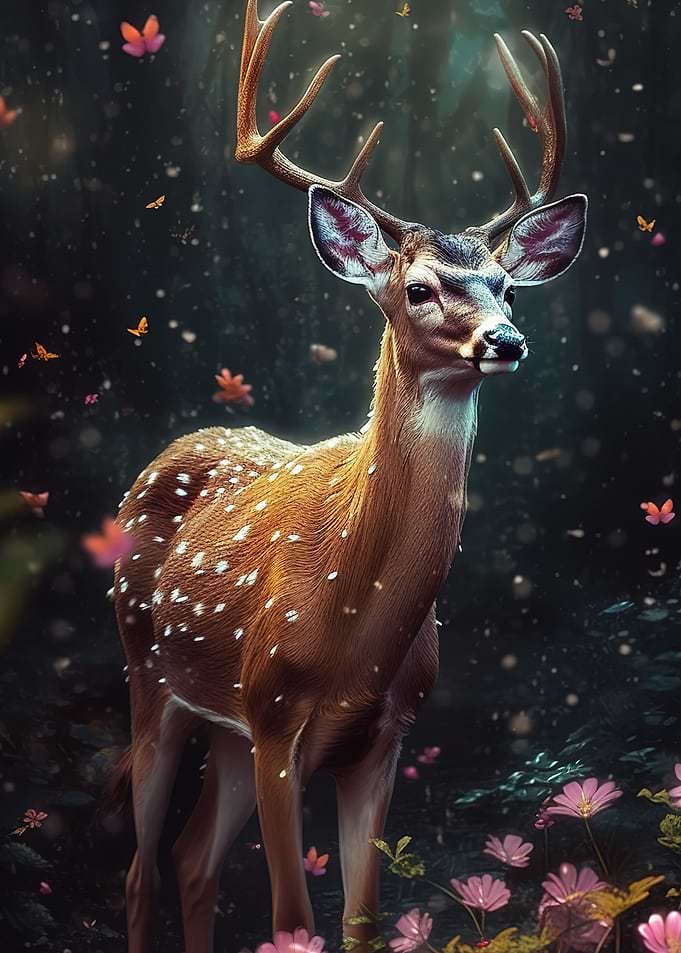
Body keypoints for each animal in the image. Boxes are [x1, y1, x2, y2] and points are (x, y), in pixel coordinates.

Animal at [110, 2, 587, 951]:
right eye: (419, 288)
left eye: (508, 286)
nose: (505, 340)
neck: (350, 630)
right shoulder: (271, 720)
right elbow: (292, 920)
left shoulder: (384, 736)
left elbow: (361, 921)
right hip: (151, 672)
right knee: (142, 868)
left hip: (219, 728)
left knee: (189, 857)